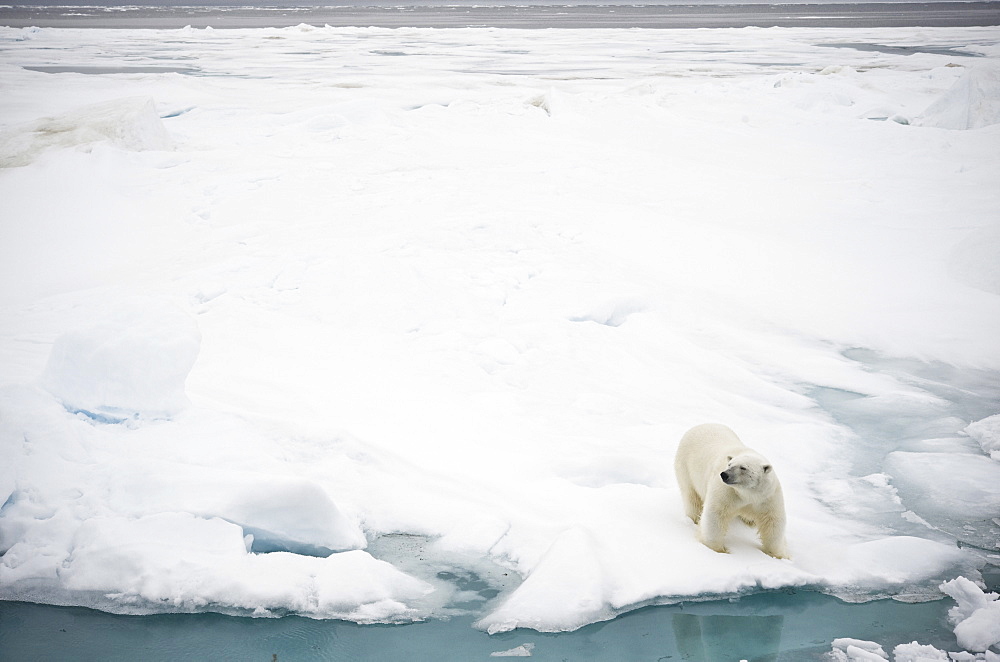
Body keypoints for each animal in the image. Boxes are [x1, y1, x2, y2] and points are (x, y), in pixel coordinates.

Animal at [672, 426, 788, 560]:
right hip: (685, 467)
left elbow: (773, 521)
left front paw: (777, 555)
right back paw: (694, 519)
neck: (748, 494)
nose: (724, 474)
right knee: (691, 497)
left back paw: (749, 521)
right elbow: (715, 514)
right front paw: (717, 549)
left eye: (743, 467)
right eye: (729, 464)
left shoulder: (767, 496)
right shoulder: (727, 492)